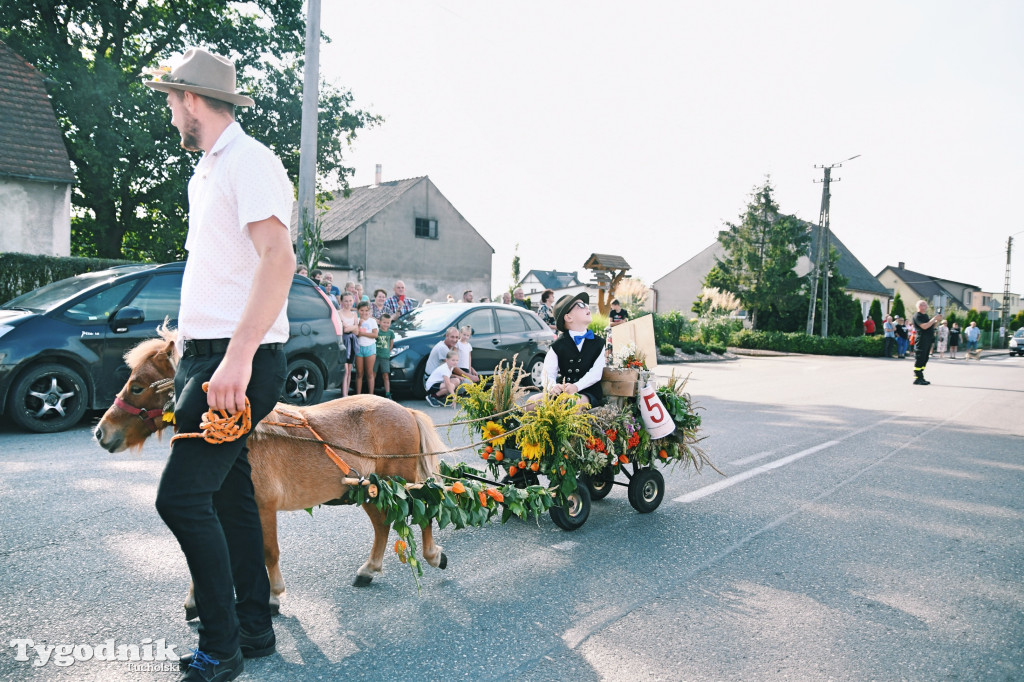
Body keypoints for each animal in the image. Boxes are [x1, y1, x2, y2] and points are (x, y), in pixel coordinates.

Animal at [94, 327, 446, 618]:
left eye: (137, 387)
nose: (100, 432)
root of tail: (405, 410)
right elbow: (206, 554)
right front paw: (195, 601)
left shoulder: (262, 508)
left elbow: (268, 552)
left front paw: (274, 597)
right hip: (370, 488)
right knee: (383, 525)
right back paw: (368, 570)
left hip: (400, 482)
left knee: (425, 511)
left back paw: (432, 555)